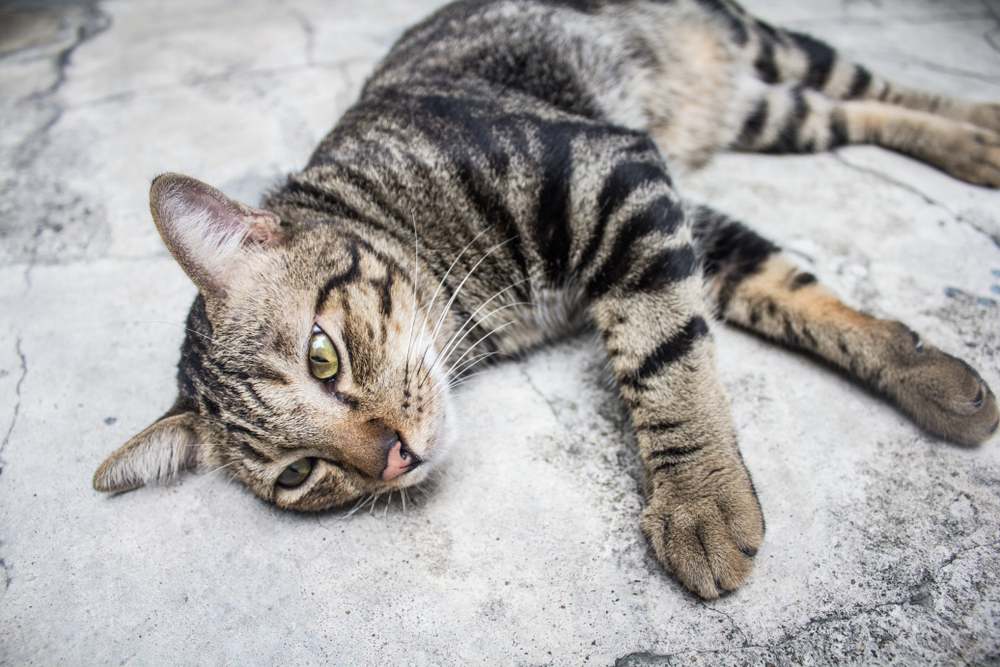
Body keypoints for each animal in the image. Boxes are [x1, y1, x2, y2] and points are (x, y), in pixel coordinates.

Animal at [92, 0, 992, 596]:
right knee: (846, 111)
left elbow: (662, 349)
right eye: (299, 473)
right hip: (763, 108)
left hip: (757, 45)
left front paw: (698, 498)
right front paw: (926, 374)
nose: (392, 457)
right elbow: (790, 295)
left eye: (322, 356)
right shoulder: (681, 216)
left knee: (874, 84)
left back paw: (978, 131)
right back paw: (974, 143)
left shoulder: (614, 173)